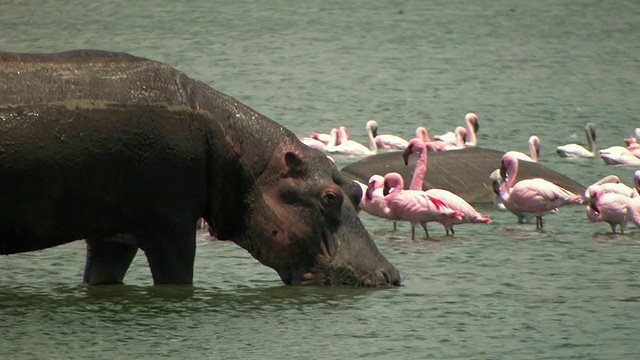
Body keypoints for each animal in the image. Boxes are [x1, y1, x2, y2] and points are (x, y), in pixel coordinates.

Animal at [0, 50, 400, 286]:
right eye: (329, 197)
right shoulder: (170, 227)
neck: (247, 156)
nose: (390, 274)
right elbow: (177, 278)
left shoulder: (113, 236)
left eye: (355, 191)